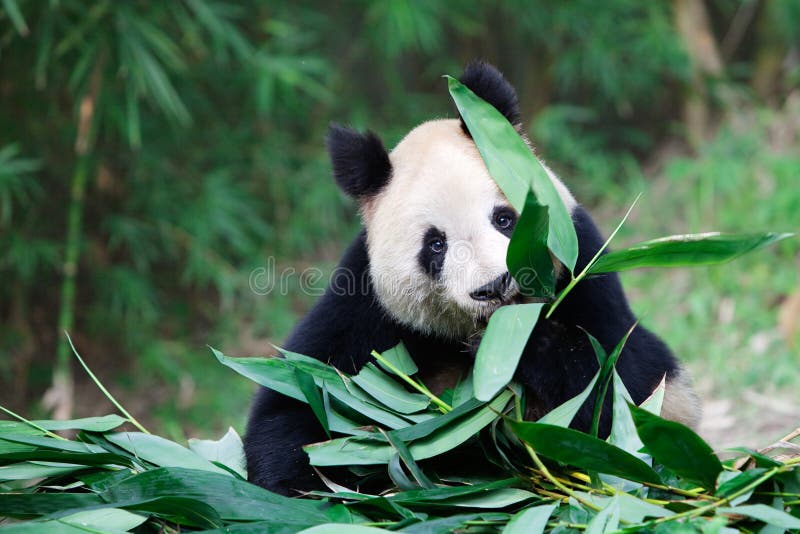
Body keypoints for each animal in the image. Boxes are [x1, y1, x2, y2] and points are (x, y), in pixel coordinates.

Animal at [244, 62, 700, 496]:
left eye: (504, 219)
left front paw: (529, 345)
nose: (494, 286)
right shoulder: (364, 303)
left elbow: (626, 392)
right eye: (435, 245)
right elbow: (297, 401)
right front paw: (300, 490)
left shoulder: (583, 268)